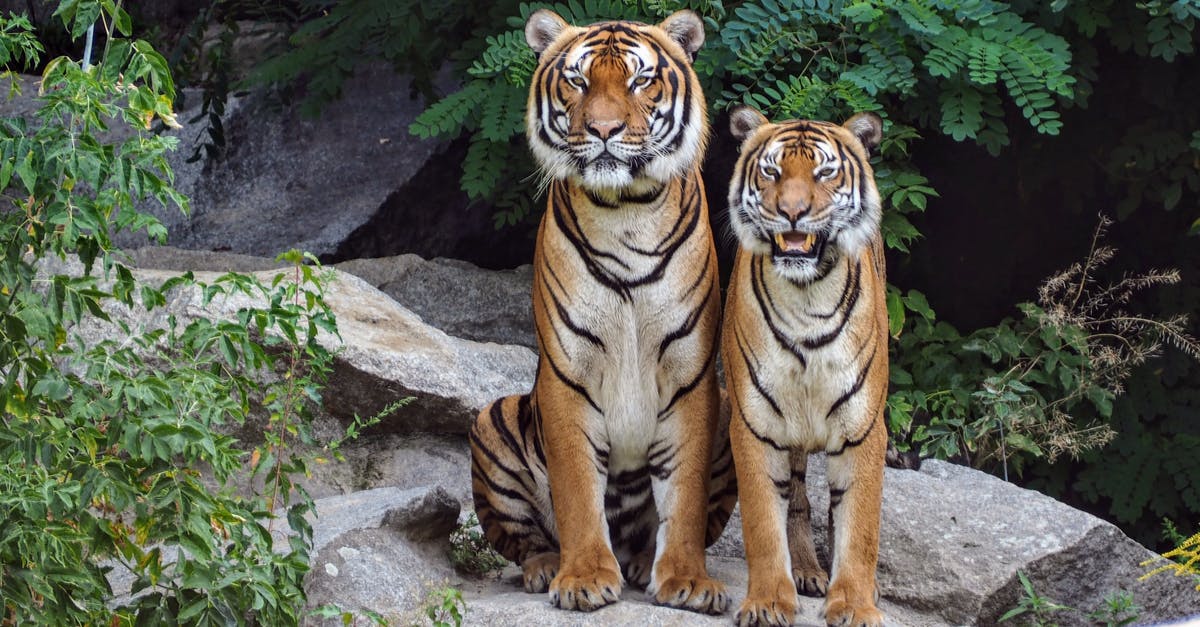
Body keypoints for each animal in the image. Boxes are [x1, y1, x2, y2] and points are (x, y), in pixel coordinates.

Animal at [467, 9, 736, 615]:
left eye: (640, 81)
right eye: (578, 80)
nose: (604, 130)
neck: (626, 211)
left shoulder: (691, 376)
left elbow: (684, 496)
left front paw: (687, 579)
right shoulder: (568, 373)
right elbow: (575, 489)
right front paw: (585, 576)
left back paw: (641, 563)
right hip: (493, 418)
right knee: (523, 539)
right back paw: (547, 566)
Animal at [720, 106, 889, 627]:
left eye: (824, 173)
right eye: (772, 172)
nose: (792, 212)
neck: (807, 297)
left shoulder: (864, 428)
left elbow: (859, 527)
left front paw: (855, 604)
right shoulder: (754, 425)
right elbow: (761, 522)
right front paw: (767, 602)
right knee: (795, 500)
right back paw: (807, 573)